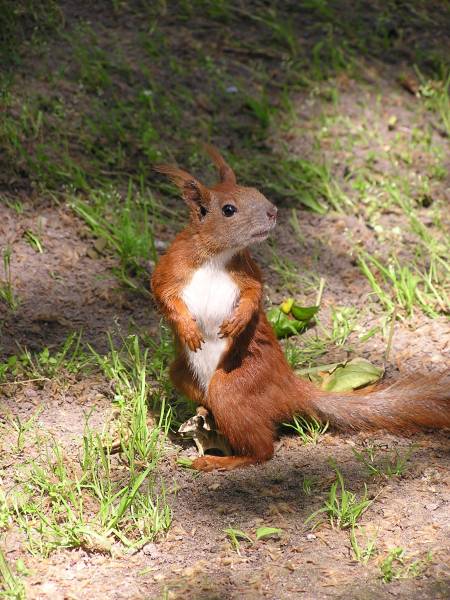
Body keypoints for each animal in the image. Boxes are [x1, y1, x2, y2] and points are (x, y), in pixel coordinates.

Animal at [152, 146, 450, 474]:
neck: (217, 257)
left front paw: (239, 320)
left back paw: (221, 459)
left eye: (255, 191)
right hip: (182, 373)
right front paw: (187, 328)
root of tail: (289, 389)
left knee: (263, 450)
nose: (273, 211)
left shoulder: (248, 272)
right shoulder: (172, 267)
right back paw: (206, 416)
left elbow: (255, 294)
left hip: (233, 385)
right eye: (228, 209)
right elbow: (162, 295)